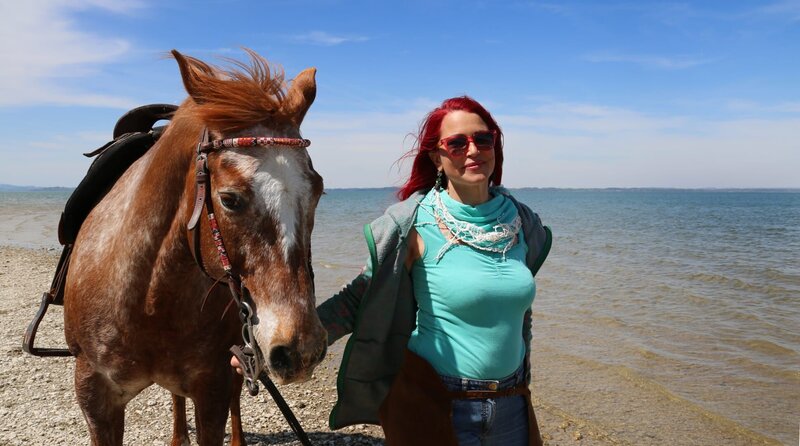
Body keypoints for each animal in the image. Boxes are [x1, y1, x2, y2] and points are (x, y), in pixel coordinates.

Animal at [62, 49, 328, 446]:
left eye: (318, 191)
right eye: (229, 199)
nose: (302, 350)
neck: (146, 301)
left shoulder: (213, 385)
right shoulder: (94, 394)